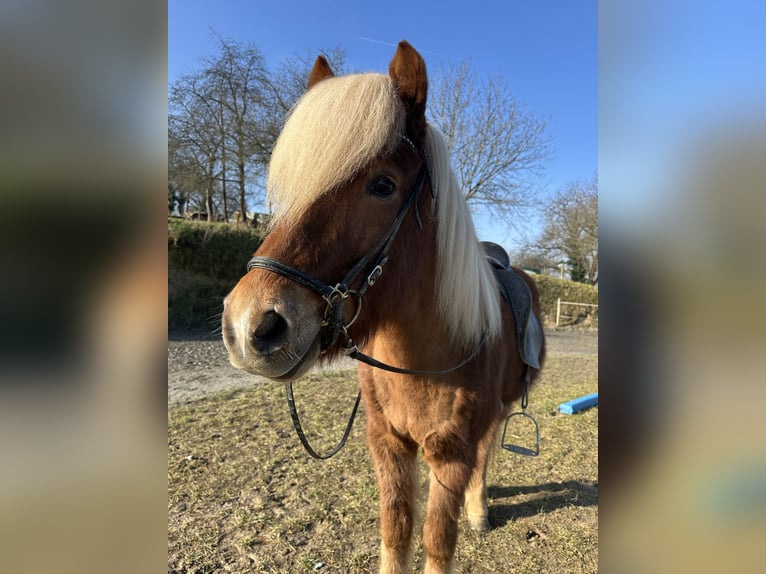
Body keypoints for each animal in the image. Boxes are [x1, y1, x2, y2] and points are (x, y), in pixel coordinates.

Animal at [222, 41, 545, 574]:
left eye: (382, 186)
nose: (251, 326)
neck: (424, 360)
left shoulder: (450, 455)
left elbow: (437, 540)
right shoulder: (388, 446)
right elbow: (396, 534)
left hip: (496, 413)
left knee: (486, 452)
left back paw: (478, 508)